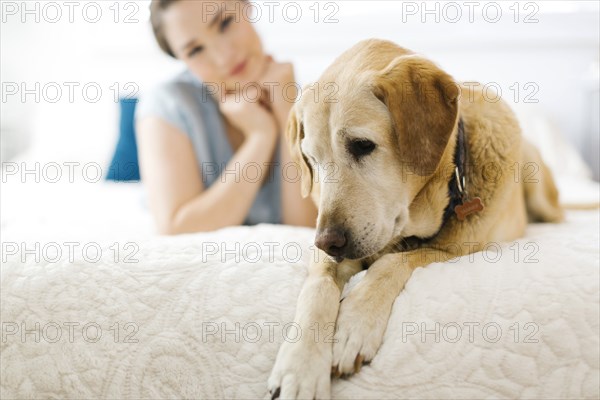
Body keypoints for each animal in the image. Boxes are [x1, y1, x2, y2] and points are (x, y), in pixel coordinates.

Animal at [268, 38, 564, 400]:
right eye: (311, 159)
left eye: (362, 145)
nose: (328, 242)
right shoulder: (327, 257)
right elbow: (317, 287)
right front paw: (300, 366)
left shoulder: (454, 252)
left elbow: (392, 263)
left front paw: (354, 324)